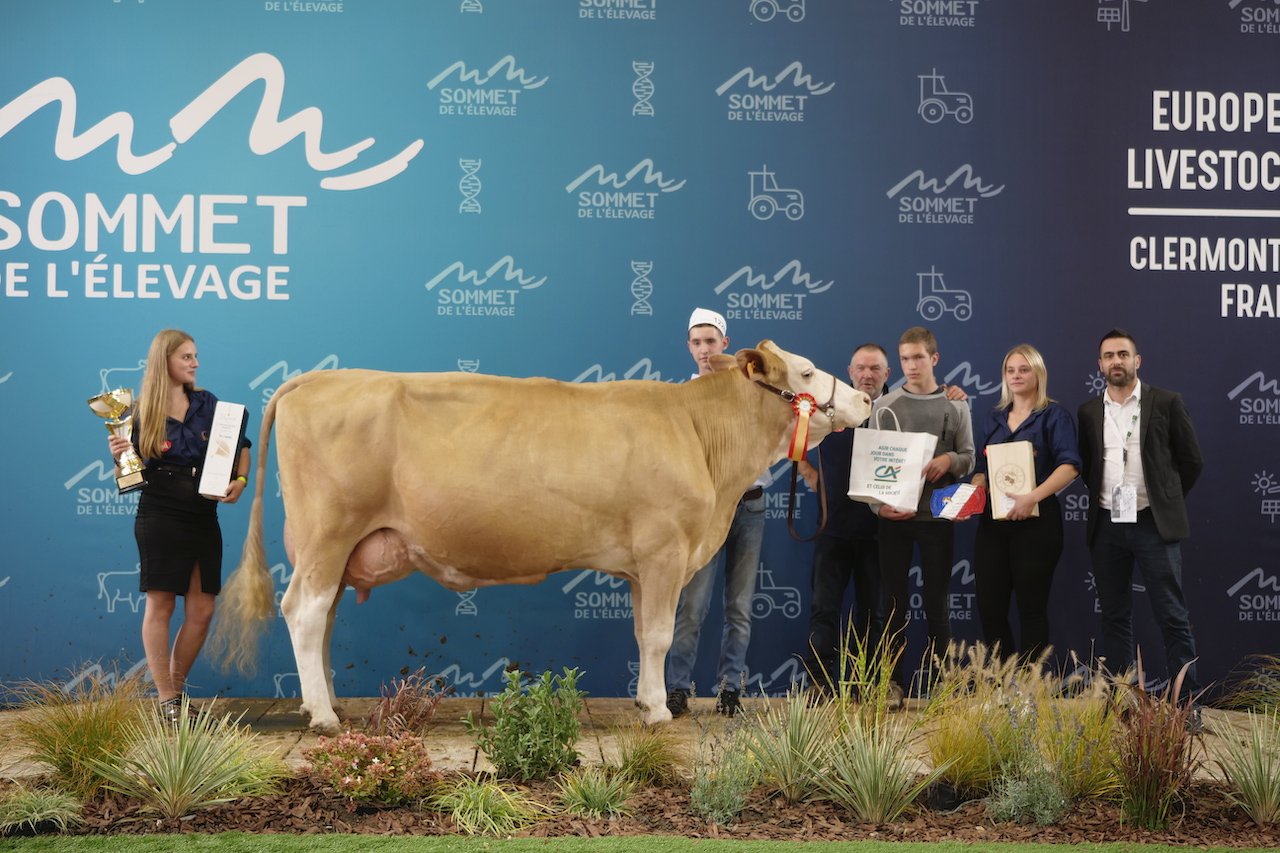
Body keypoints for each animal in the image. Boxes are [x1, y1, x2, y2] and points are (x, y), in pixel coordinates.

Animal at [209, 341, 870, 733]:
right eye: (805, 372)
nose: (864, 398)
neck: (700, 435)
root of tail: (318, 380)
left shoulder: (644, 563)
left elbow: (642, 633)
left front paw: (644, 699)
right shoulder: (664, 549)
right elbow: (659, 636)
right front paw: (659, 711)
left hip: (335, 546)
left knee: (322, 617)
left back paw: (324, 701)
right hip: (329, 532)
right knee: (304, 612)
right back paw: (323, 716)